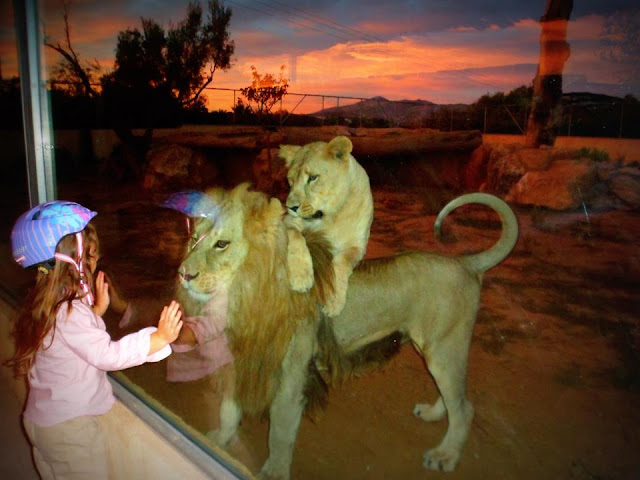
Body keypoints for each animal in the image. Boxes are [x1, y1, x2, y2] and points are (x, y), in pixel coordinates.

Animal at [172, 184, 518, 479]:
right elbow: (228, 408)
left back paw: (444, 454)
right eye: (193, 239)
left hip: (445, 350)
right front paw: (220, 439)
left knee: (465, 408)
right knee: (453, 397)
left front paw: (273, 472)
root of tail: (466, 264)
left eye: (222, 244)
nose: (184, 274)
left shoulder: (291, 380)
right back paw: (433, 413)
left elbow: (280, 435)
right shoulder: (239, 358)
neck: (243, 296)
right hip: (432, 350)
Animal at [279, 135, 374, 317]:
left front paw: (333, 301)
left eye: (312, 178)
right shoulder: (288, 221)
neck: (331, 216)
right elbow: (295, 236)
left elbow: (341, 262)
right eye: (291, 180)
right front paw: (301, 277)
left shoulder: (357, 246)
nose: (290, 207)